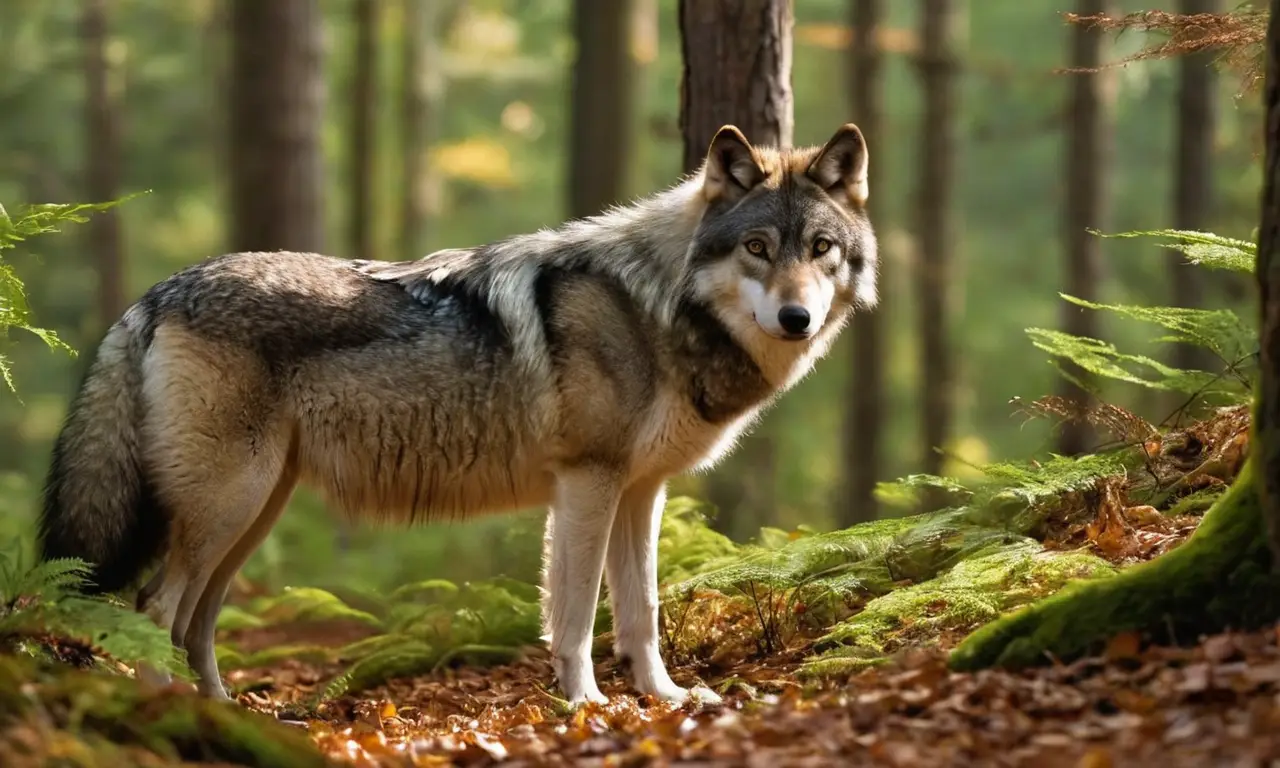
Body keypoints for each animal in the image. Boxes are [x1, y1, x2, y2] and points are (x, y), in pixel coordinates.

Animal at [38, 123, 877, 705]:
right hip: (228, 506)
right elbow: (577, 616)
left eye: (822, 249)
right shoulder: (587, 485)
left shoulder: (640, 494)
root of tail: (157, 292)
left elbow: (639, 614)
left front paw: (664, 699)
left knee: (196, 621)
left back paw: (225, 711)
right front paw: (586, 704)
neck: (656, 305)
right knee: (154, 606)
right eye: (759, 247)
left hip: (249, 514)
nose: (797, 318)